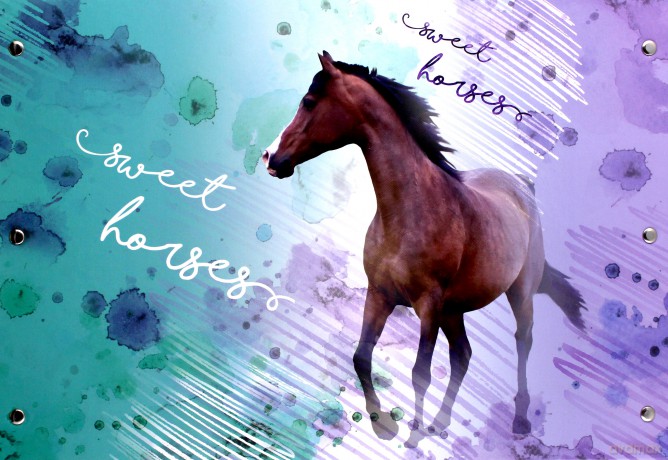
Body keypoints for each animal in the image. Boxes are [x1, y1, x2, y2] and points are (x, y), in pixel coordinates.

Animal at [262, 51, 585, 447]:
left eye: (309, 102)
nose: (270, 158)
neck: (409, 210)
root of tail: (523, 185)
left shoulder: (428, 306)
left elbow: (421, 372)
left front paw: (412, 436)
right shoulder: (380, 295)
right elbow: (361, 357)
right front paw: (383, 424)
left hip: (517, 294)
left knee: (522, 341)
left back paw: (519, 421)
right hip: (454, 309)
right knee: (463, 355)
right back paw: (441, 422)